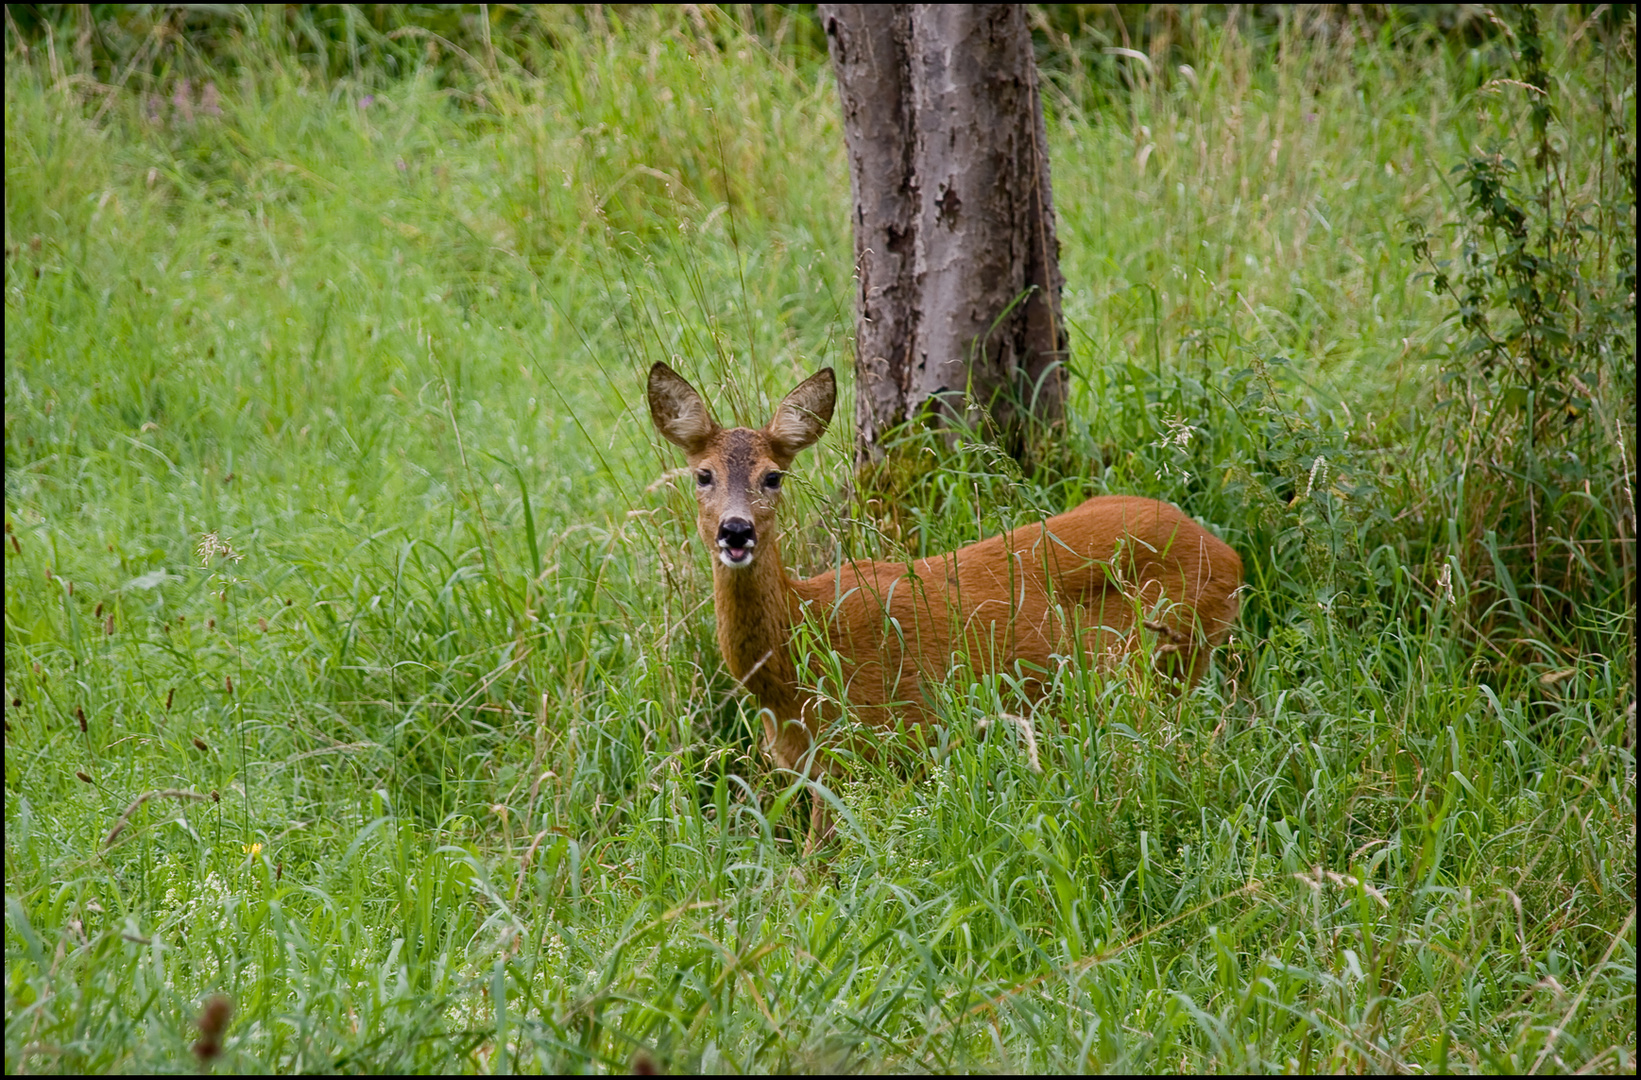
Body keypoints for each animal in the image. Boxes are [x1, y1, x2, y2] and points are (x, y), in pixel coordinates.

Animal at [646, 361, 1234, 846]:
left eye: (773, 475)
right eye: (703, 475)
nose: (735, 530)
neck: (799, 659)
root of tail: (1227, 553)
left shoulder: (887, 742)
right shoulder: (813, 766)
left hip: (1166, 660)